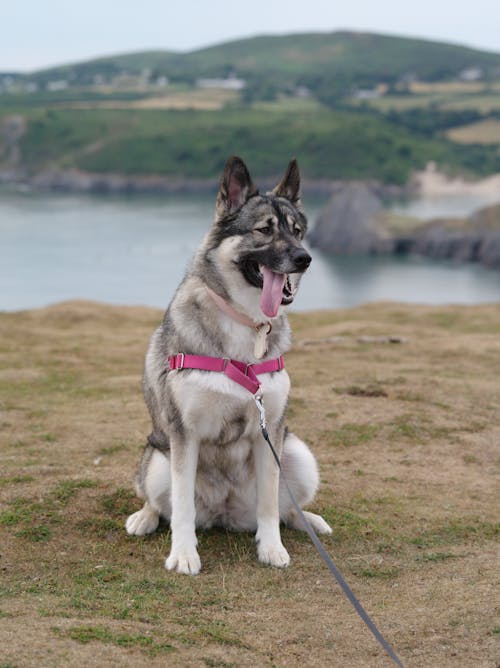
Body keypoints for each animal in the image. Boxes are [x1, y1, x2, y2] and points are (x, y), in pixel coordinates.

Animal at [125, 155, 330, 576]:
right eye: (264, 230)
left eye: (298, 231)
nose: (304, 258)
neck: (245, 323)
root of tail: (224, 514)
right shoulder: (184, 434)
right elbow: (181, 507)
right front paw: (184, 553)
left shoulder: (270, 432)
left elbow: (269, 502)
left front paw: (271, 547)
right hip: (157, 458)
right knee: (160, 503)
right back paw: (144, 518)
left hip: (298, 454)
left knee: (286, 508)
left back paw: (308, 520)